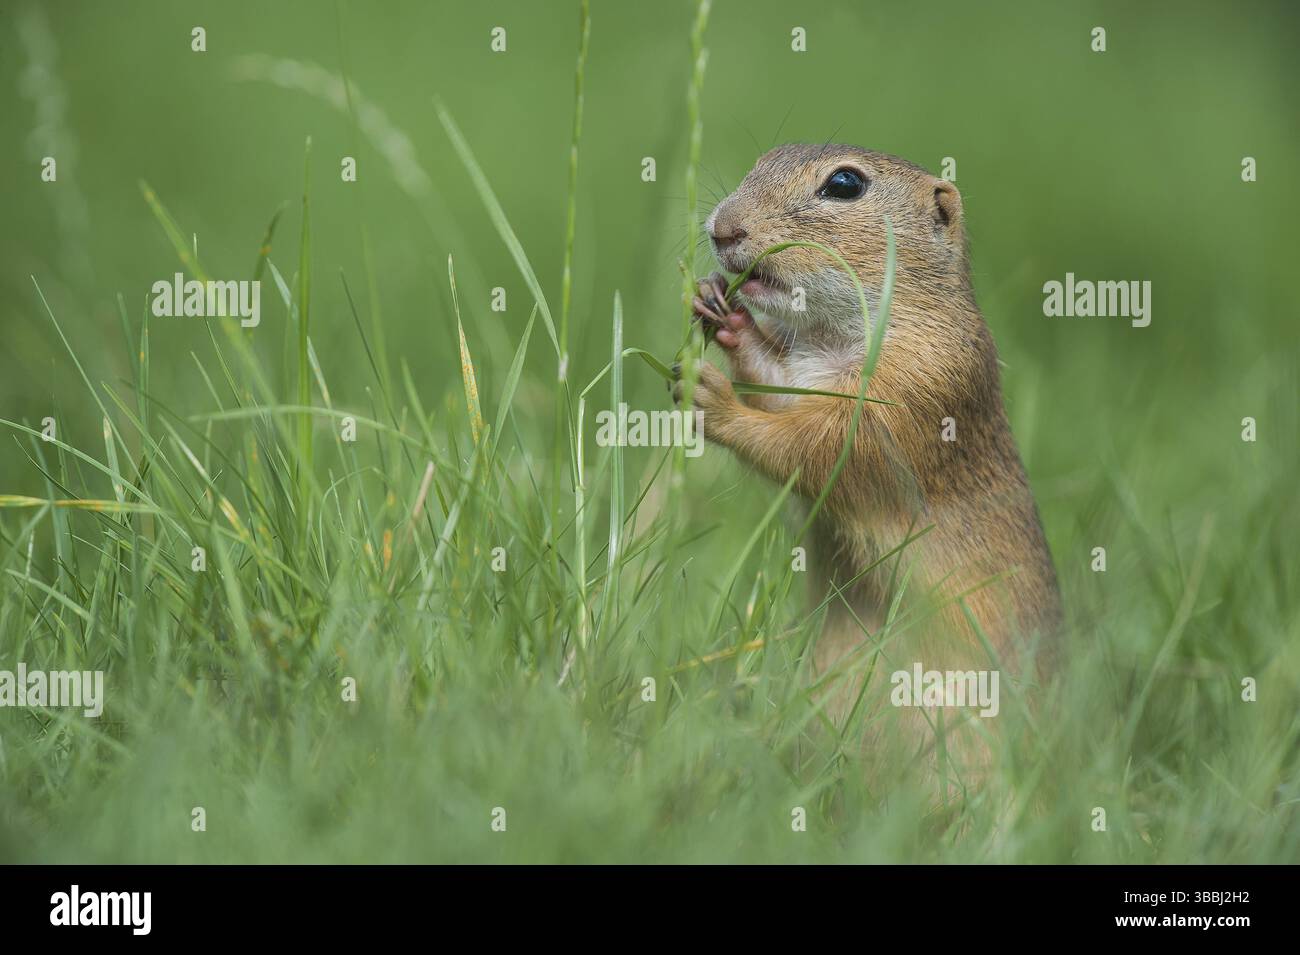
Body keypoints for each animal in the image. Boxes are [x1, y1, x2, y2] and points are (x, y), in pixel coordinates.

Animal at [675, 144, 1062, 764]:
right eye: (763, 158)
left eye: (844, 184)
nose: (722, 228)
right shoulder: (808, 369)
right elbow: (778, 384)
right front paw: (720, 308)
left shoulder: (909, 394)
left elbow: (813, 449)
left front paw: (711, 396)